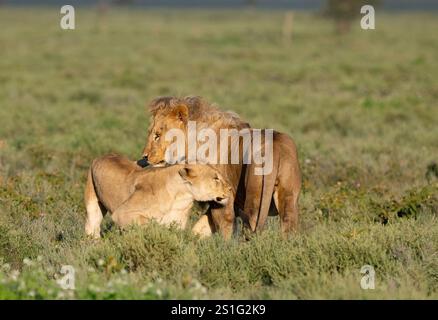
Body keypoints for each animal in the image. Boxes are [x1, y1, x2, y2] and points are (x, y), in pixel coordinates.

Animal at [83, 154, 231, 239]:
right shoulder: (122, 213)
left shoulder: (178, 223)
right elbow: (147, 223)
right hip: (92, 204)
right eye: (216, 178)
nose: (230, 189)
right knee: (92, 226)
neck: (182, 196)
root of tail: (103, 156)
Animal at [140, 96, 302, 239]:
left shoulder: (223, 199)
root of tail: (275, 145)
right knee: (289, 225)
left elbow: (224, 227)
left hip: (255, 198)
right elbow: (200, 228)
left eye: (157, 135)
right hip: (288, 198)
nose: (144, 156)